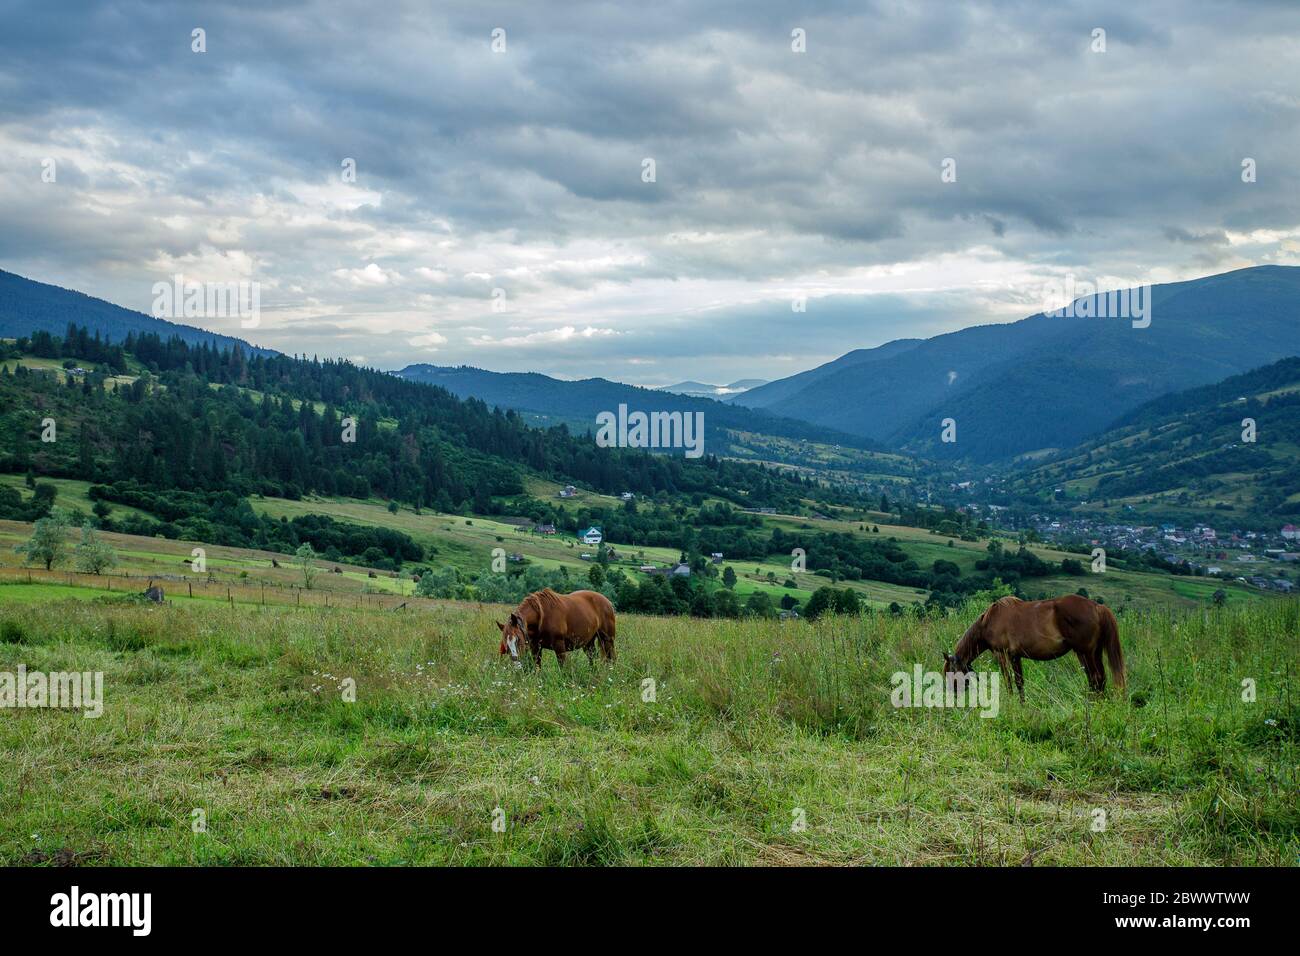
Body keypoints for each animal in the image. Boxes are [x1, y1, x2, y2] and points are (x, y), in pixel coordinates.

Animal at [941, 595, 1123, 697]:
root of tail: (1097, 607)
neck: (988, 622)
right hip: (1093, 653)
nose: (952, 696)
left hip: (1086, 652)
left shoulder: (1003, 654)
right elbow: (1019, 681)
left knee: (1096, 678)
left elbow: (1010, 680)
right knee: (1098, 679)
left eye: (950, 672)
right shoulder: (1016, 656)